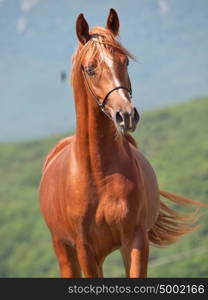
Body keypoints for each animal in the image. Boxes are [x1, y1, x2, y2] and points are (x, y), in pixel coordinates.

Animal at [39, 8, 206, 278]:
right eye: (90, 69)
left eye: (125, 61)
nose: (126, 115)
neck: (99, 175)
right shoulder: (85, 249)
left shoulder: (134, 240)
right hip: (64, 250)